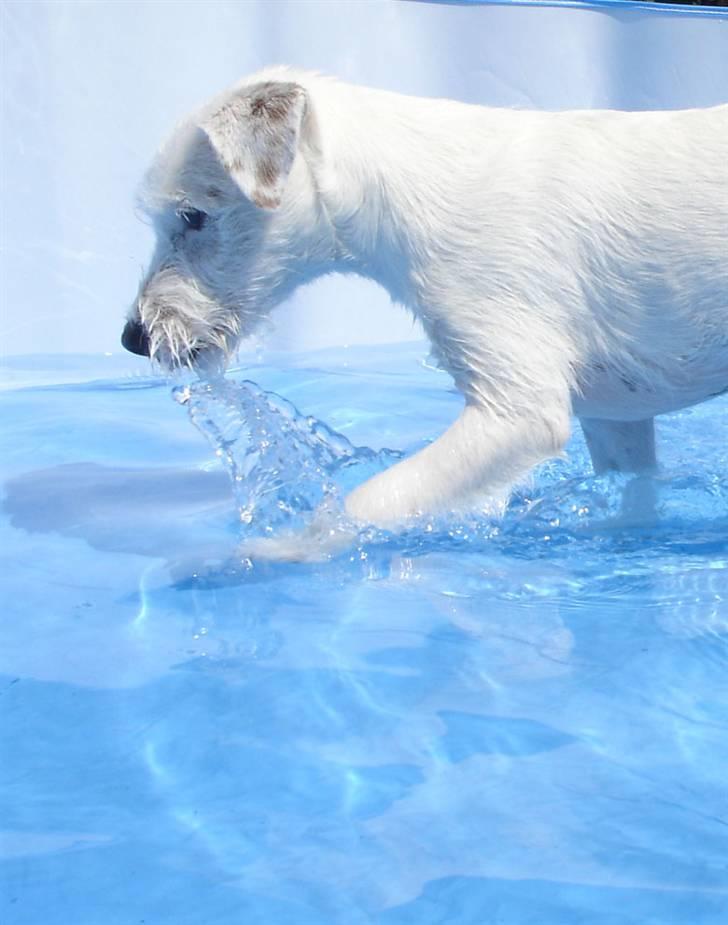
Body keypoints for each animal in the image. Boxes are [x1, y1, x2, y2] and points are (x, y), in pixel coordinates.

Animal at [122, 67, 724, 528]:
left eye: (193, 216)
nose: (133, 338)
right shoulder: (615, 418)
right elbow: (635, 493)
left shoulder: (516, 413)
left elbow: (370, 500)